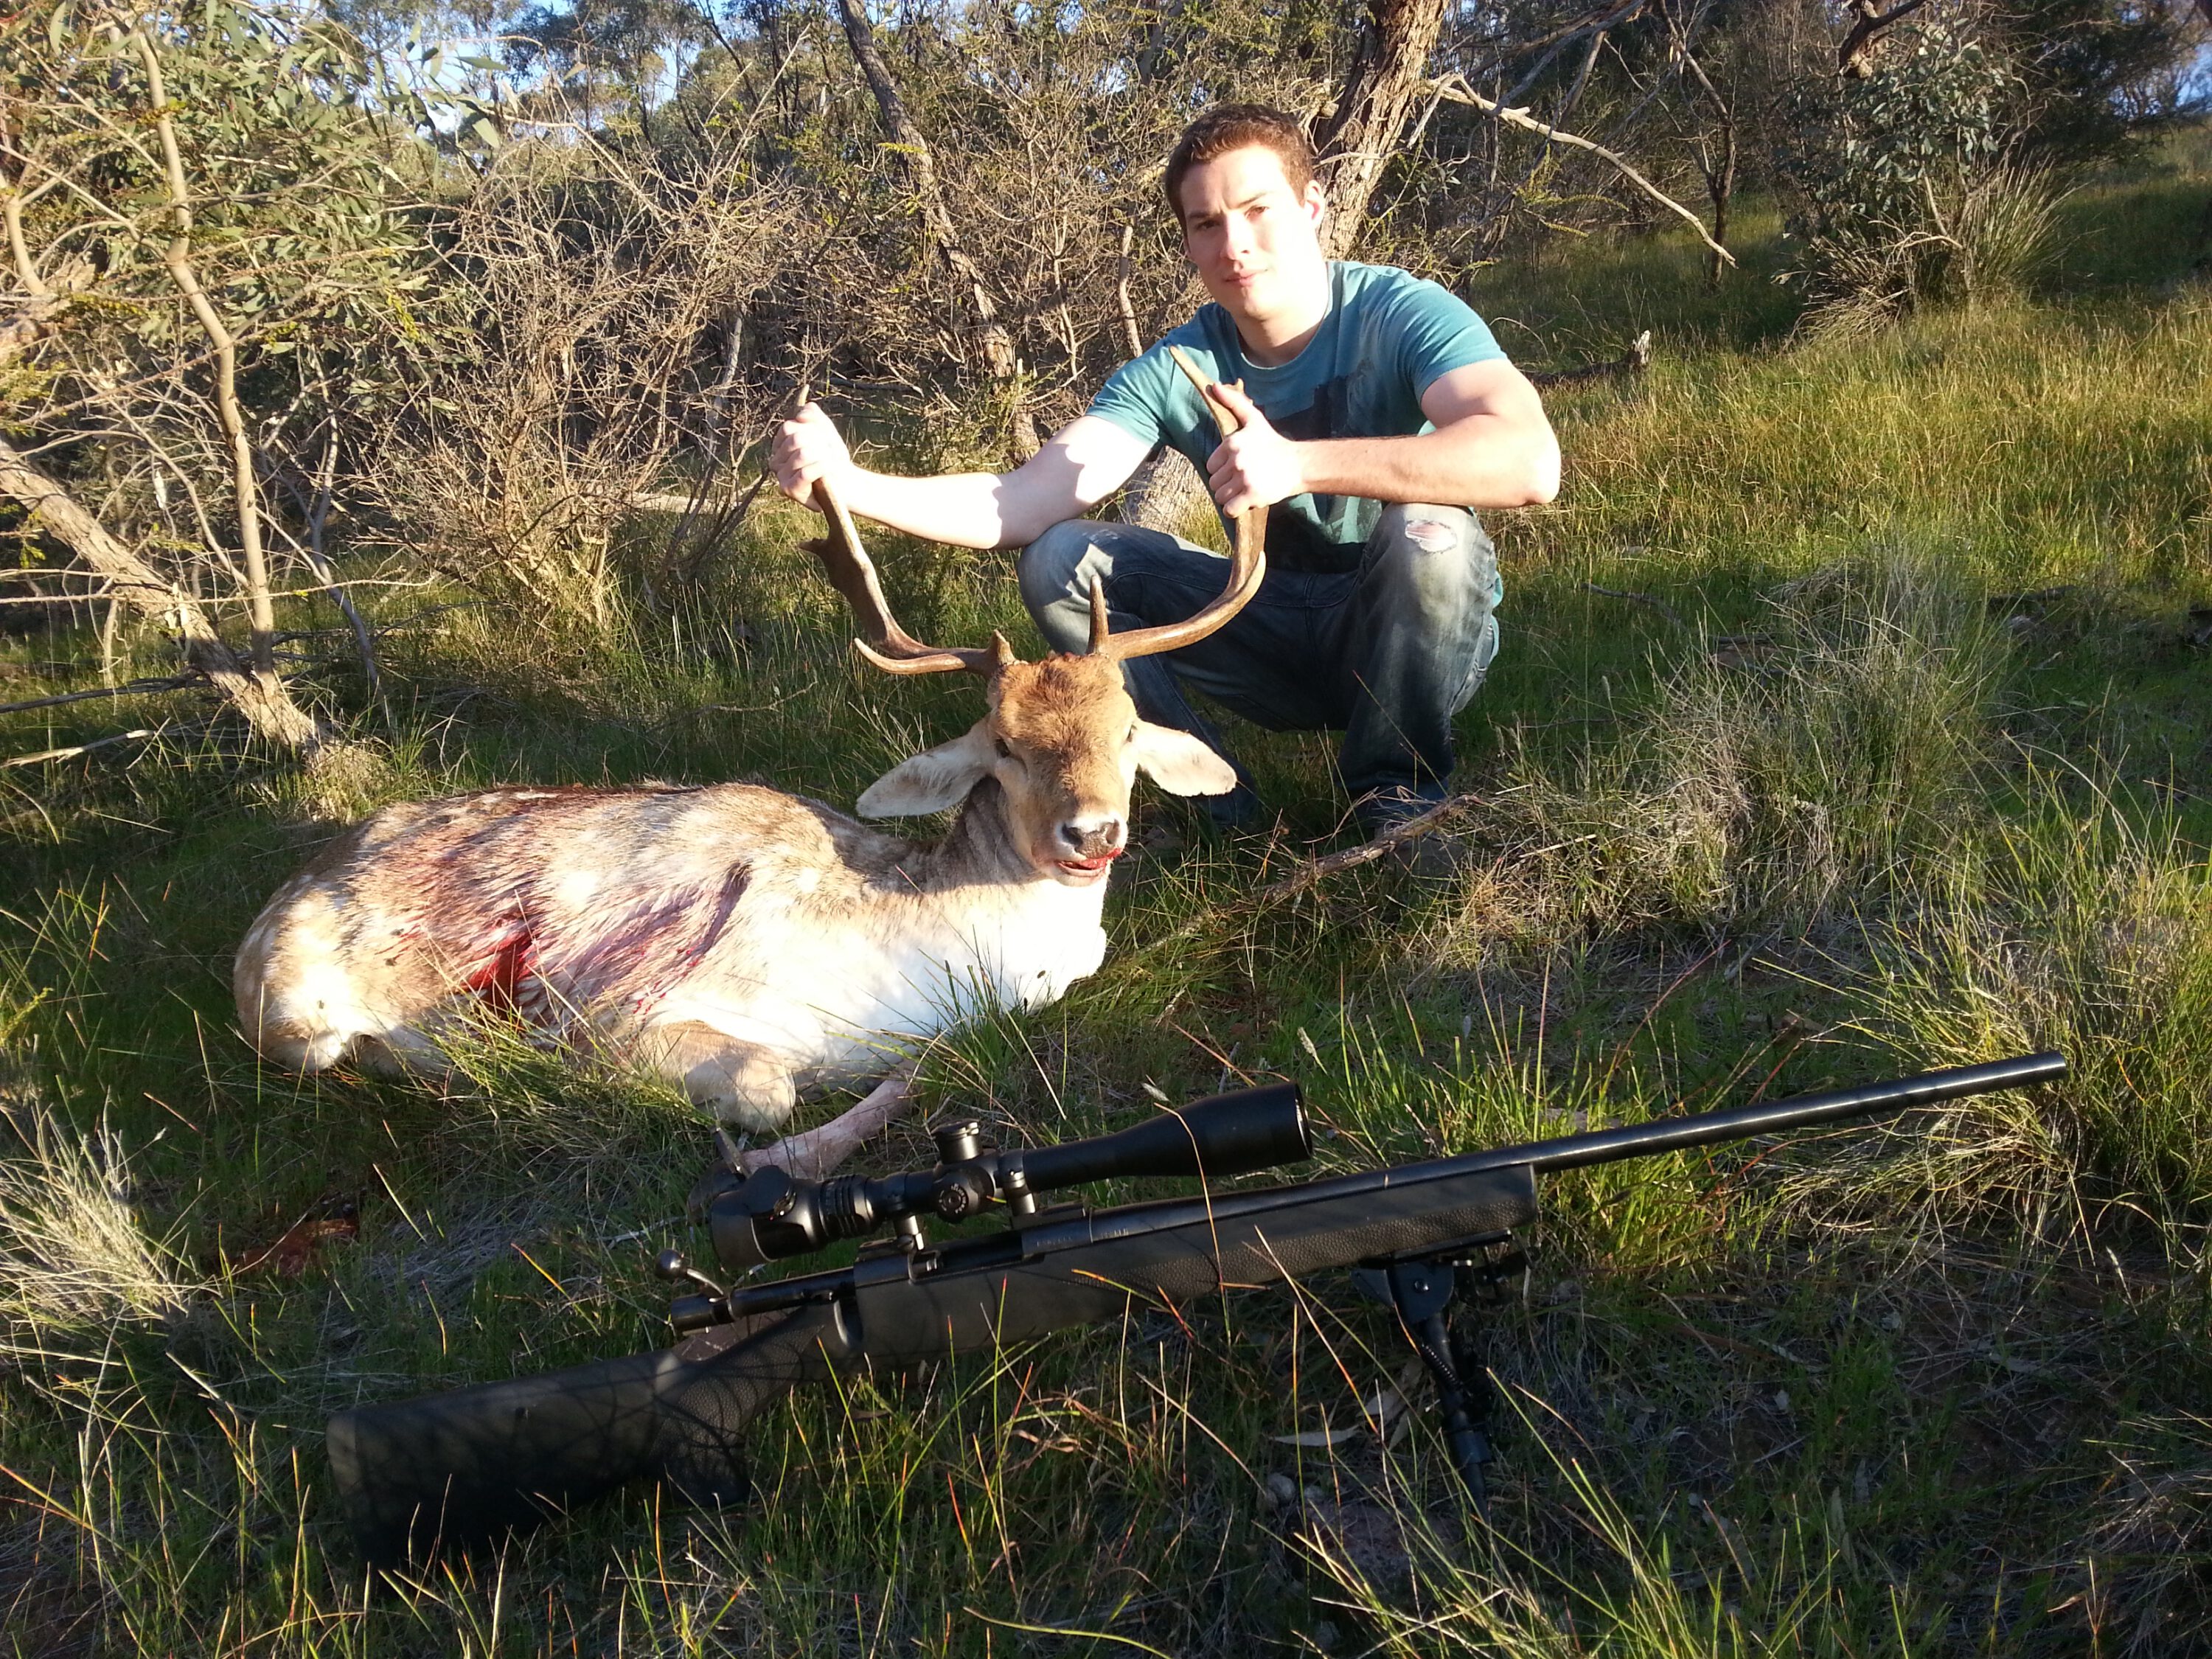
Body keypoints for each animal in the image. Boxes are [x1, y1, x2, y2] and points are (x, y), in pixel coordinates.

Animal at [233, 442, 1265, 1177]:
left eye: (1127, 730)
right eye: (1004, 744)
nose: (1091, 832)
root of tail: (270, 908)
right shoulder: (613, 1001)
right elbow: (768, 1086)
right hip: (298, 1011)